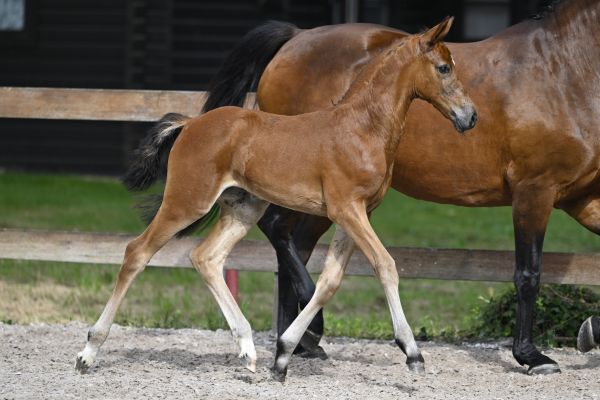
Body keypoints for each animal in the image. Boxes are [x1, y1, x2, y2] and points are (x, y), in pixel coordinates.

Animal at [76, 18, 478, 380]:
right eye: (443, 67)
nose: (470, 116)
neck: (361, 127)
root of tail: (190, 124)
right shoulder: (346, 208)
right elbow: (386, 266)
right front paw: (413, 354)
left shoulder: (357, 213)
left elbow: (330, 281)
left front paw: (284, 355)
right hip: (187, 201)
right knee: (137, 252)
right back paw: (88, 352)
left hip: (242, 208)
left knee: (206, 257)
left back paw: (248, 351)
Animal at [200, 0, 600, 376]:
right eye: (444, 68)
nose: (470, 117)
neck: (564, 69)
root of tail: (295, 37)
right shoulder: (535, 191)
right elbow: (528, 274)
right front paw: (532, 356)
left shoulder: (583, 198)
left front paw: (588, 331)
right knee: (278, 232)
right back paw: (310, 332)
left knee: (292, 243)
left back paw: (301, 343)